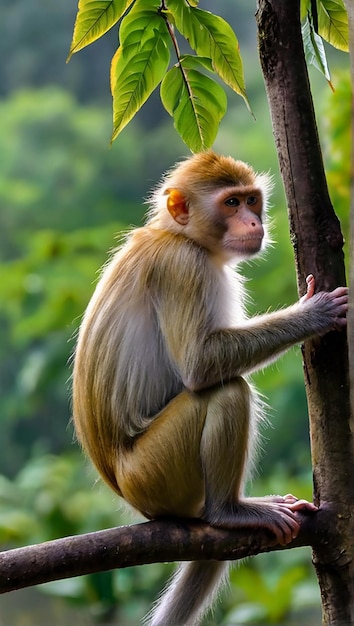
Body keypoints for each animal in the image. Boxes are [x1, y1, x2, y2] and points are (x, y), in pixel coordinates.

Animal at [72, 151, 348, 624]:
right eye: (231, 203)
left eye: (251, 200)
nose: (254, 221)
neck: (178, 234)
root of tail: (128, 492)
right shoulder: (184, 269)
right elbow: (200, 365)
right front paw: (312, 314)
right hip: (156, 474)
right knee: (227, 390)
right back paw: (228, 513)